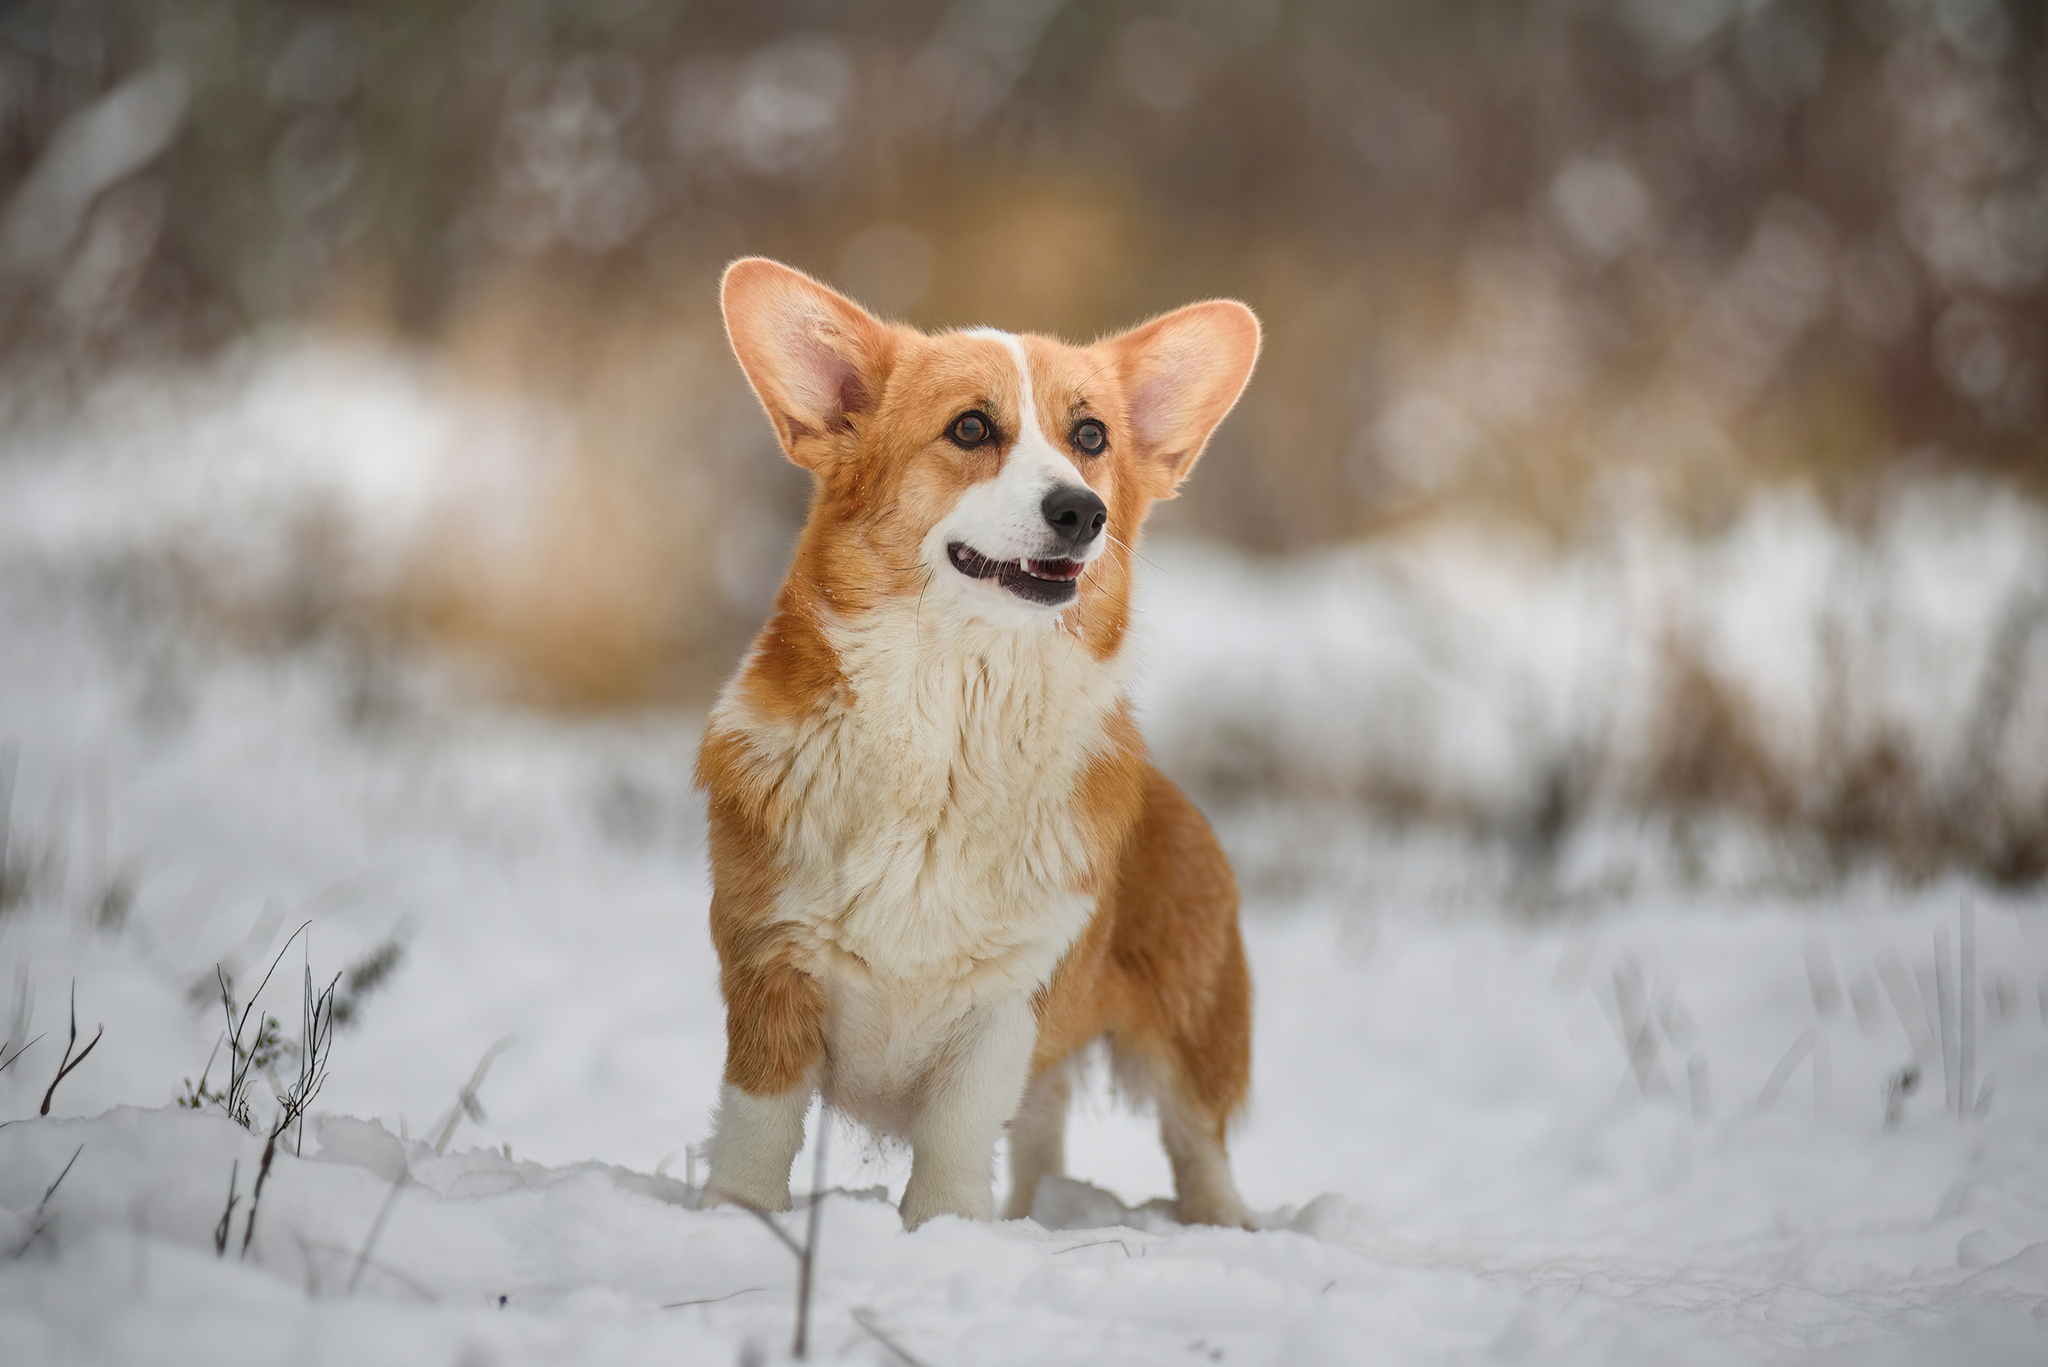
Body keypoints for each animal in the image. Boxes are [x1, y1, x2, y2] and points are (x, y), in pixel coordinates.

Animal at [696, 256, 1253, 1229]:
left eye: (1091, 436)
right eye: (970, 427)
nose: (1082, 511)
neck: (954, 716)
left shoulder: (1006, 1001)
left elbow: (955, 1141)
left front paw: (945, 1231)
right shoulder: (770, 965)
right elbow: (758, 1127)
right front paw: (739, 1217)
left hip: (1193, 1032)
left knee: (1200, 1149)